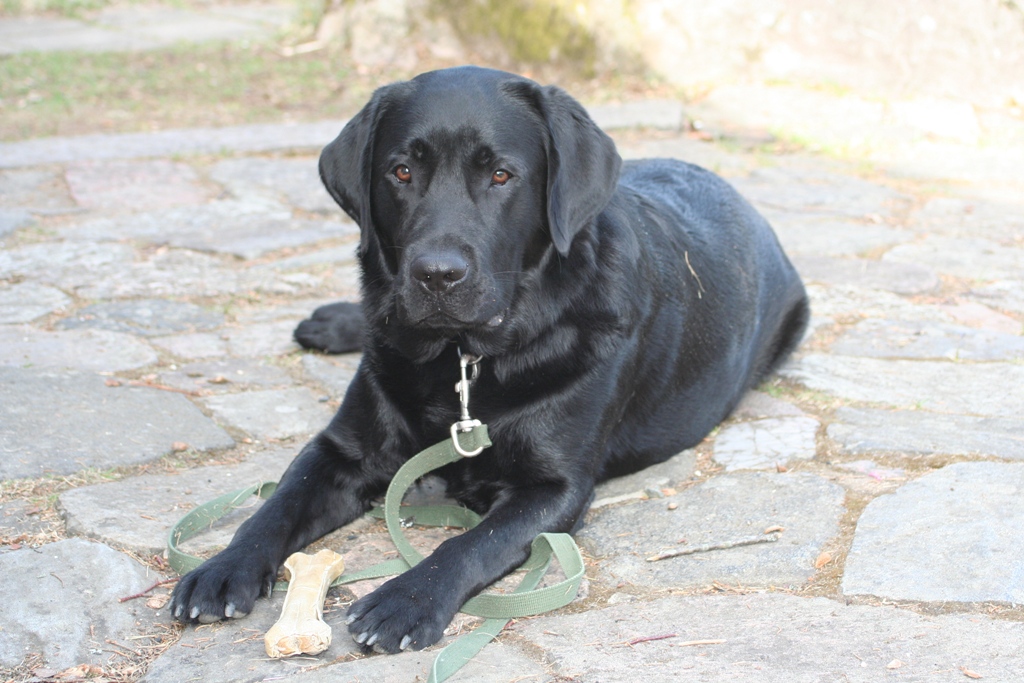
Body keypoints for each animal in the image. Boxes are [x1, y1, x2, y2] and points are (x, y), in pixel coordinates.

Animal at [170, 66, 809, 654]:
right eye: (402, 172)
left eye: (501, 175)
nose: (437, 275)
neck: (462, 360)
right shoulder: (340, 449)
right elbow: (274, 507)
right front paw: (220, 568)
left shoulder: (553, 488)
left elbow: (469, 544)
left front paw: (407, 598)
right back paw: (333, 322)